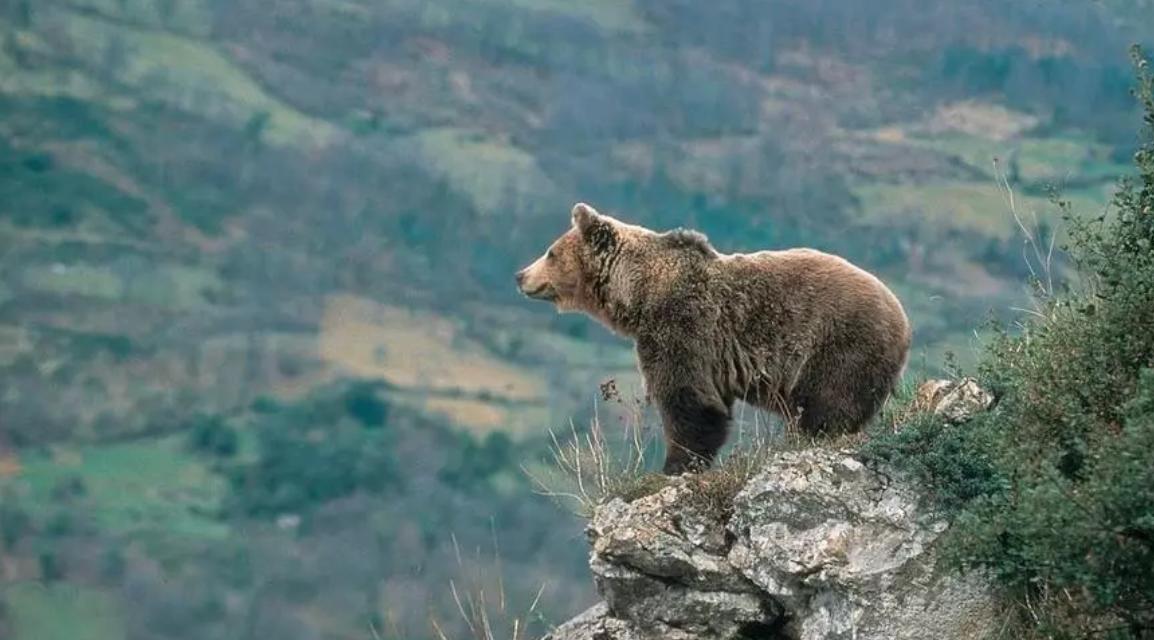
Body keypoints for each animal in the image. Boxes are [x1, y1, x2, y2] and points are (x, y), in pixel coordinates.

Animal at [516, 203, 912, 474]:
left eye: (550, 252)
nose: (520, 275)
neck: (639, 294)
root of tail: (904, 320)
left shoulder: (683, 326)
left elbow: (688, 399)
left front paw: (675, 465)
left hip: (839, 343)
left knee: (829, 405)